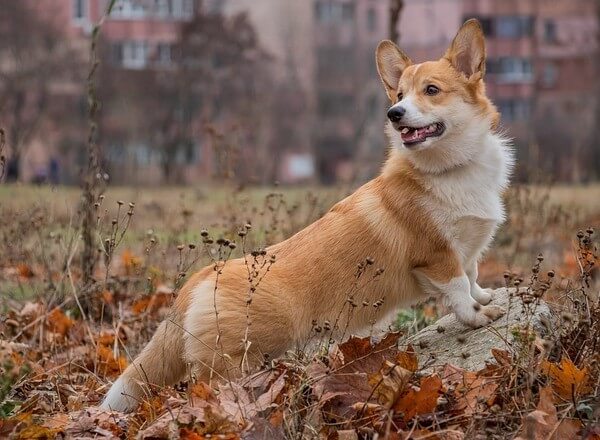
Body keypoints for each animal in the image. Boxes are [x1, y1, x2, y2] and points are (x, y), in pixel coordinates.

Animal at [102, 19, 510, 412]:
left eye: (431, 90)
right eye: (399, 95)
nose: (394, 114)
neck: (450, 170)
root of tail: (200, 279)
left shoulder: (465, 250)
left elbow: (472, 277)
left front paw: (486, 297)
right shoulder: (438, 257)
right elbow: (458, 291)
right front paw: (478, 316)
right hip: (236, 361)